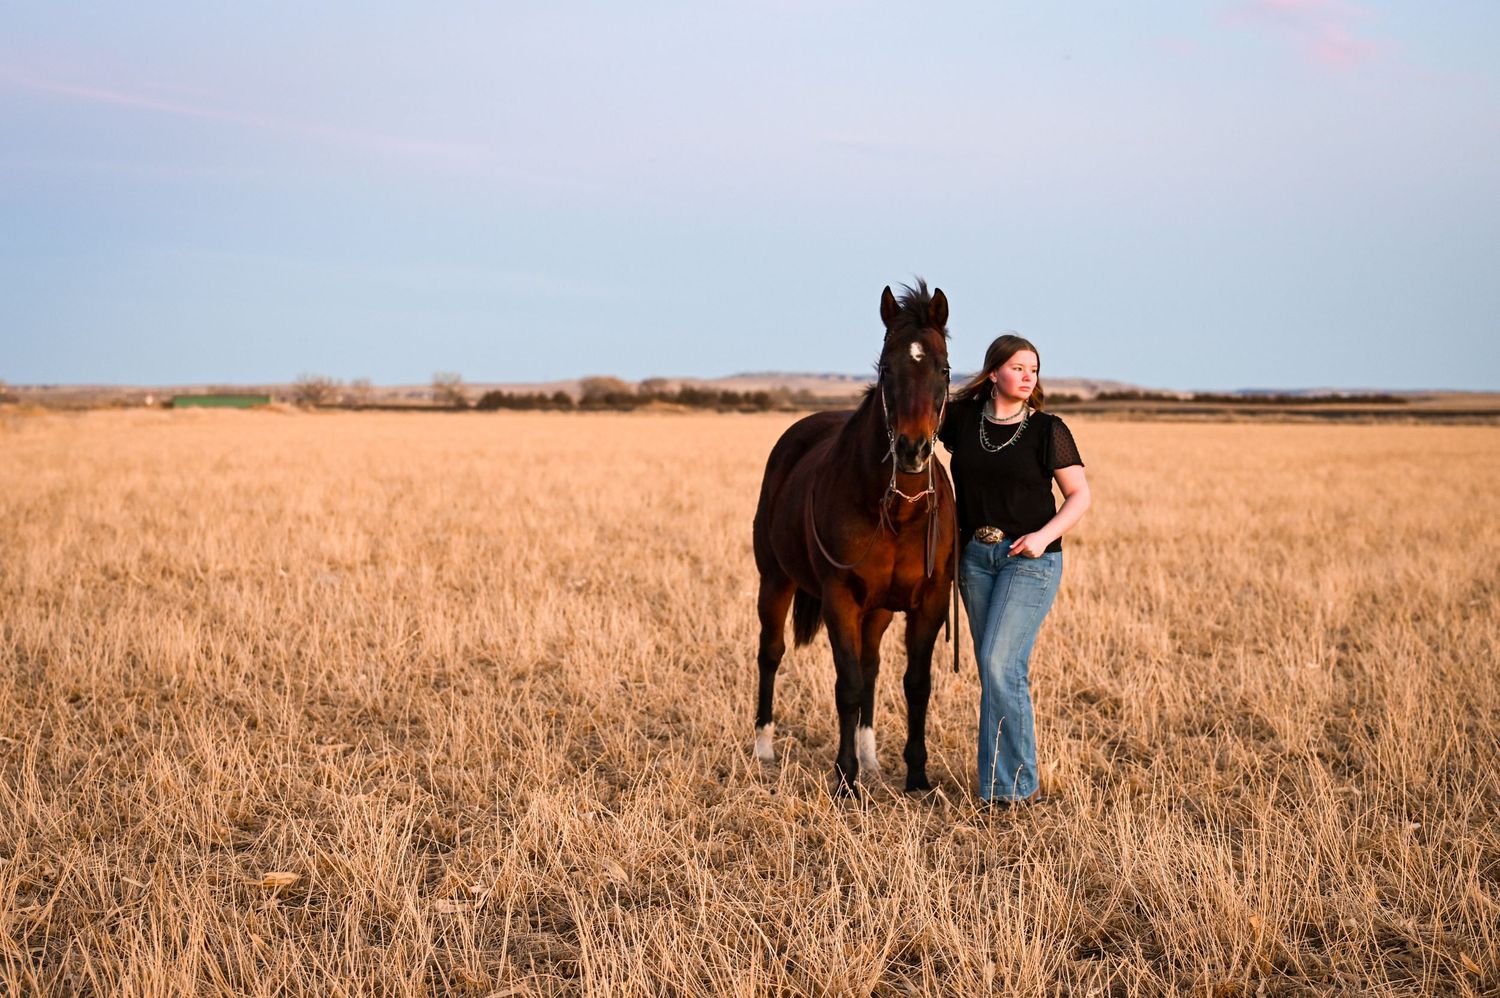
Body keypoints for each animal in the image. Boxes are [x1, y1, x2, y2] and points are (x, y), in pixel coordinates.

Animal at [751, 280, 957, 795]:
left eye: (944, 369)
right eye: (886, 368)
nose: (911, 448)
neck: (898, 511)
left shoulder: (929, 602)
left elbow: (913, 684)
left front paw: (916, 775)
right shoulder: (839, 598)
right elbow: (846, 686)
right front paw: (844, 779)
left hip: (878, 611)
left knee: (871, 668)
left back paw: (871, 758)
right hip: (774, 581)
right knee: (771, 653)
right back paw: (764, 748)